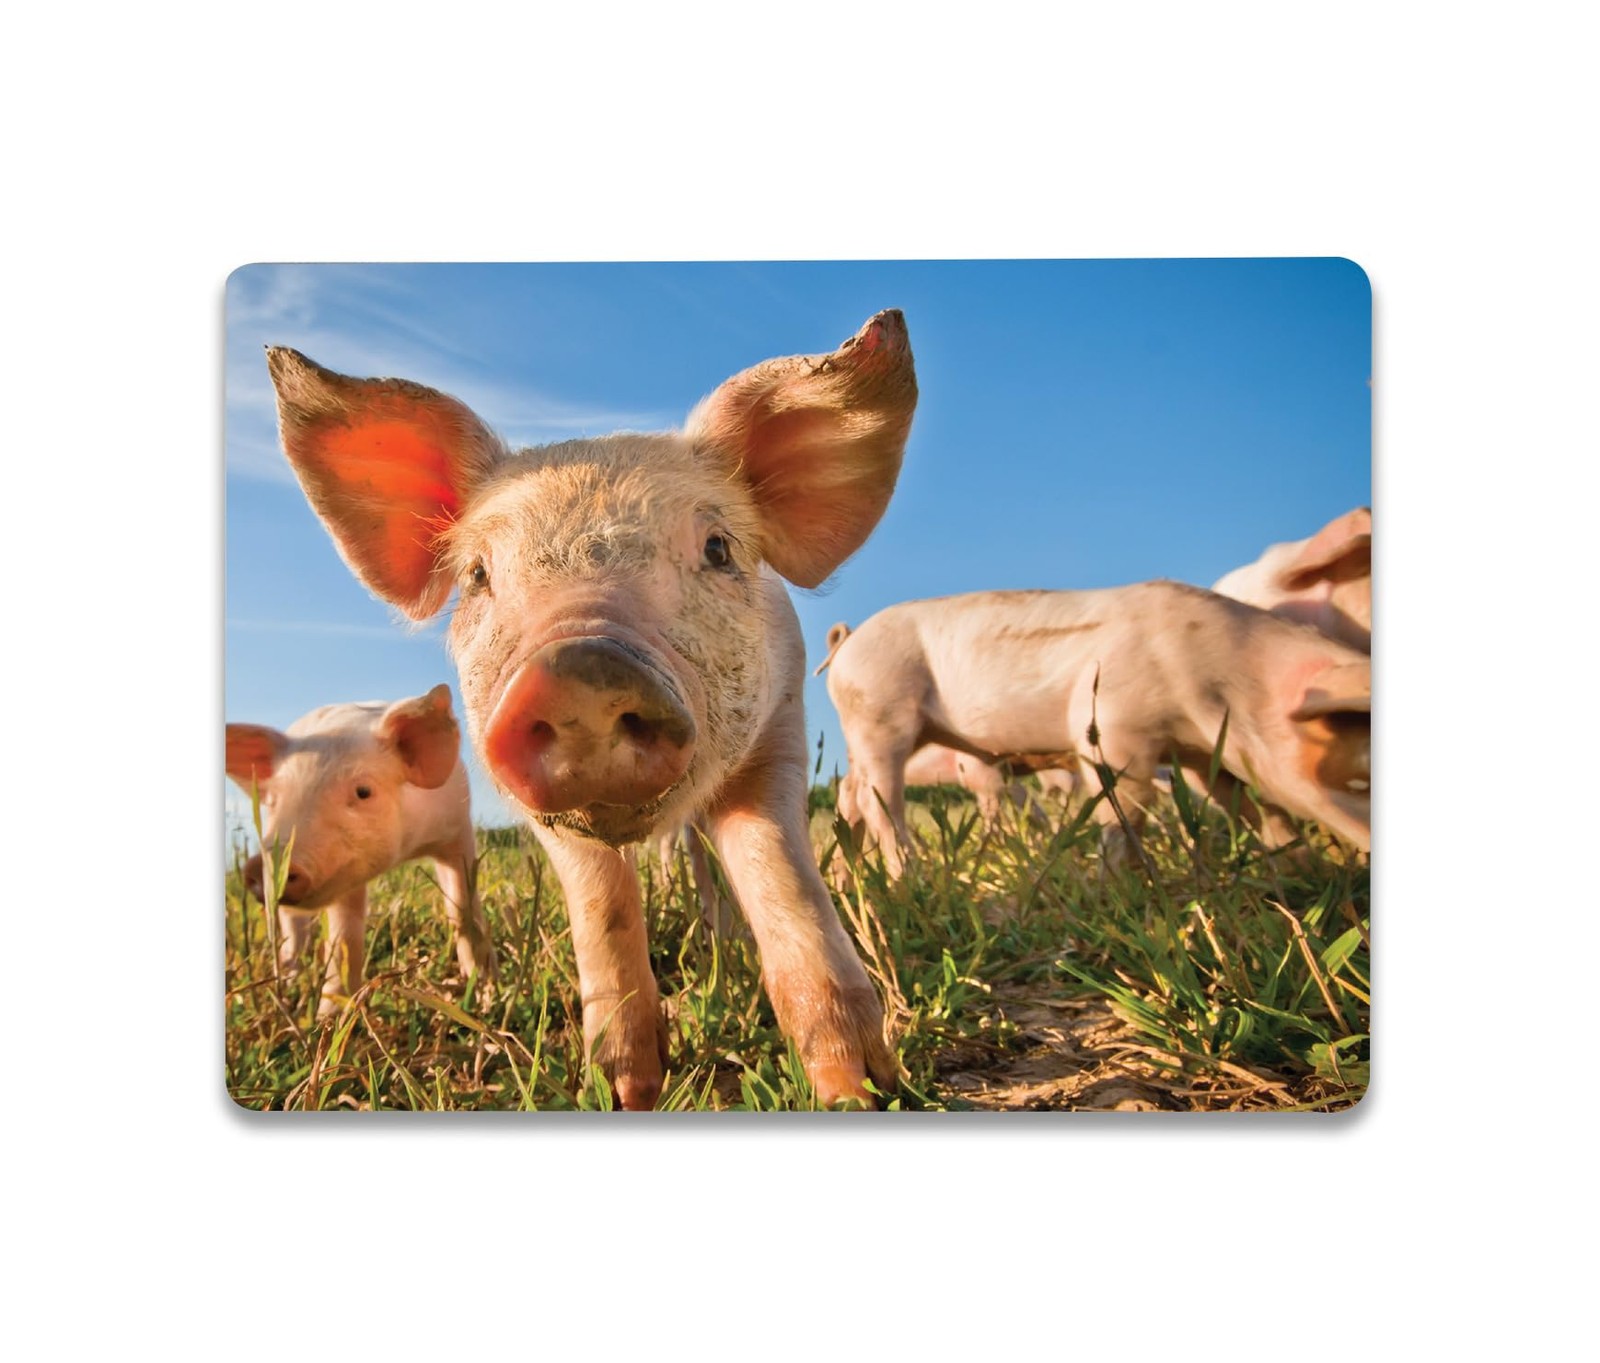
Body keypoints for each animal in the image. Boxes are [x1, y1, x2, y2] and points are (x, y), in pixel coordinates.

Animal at [225, 685, 496, 1017]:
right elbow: (345, 936)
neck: (407, 848)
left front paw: (485, 992)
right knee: (293, 929)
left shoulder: (457, 829)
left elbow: (462, 905)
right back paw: (289, 981)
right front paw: (329, 1019)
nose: (261, 867)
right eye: (273, 801)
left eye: (363, 792)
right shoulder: (346, 873)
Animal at [265, 310, 917, 1109]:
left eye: (718, 547)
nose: (578, 668)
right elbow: (602, 906)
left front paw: (859, 1089)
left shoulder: (781, 727)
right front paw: (625, 1088)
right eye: (477, 574)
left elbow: (778, 870)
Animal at [822, 583, 1370, 878]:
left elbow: (1257, 809)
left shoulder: (1202, 755)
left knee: (850, 797)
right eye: (1360, 779)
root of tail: (849, 640)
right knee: (878, 800)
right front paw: (1114, 882)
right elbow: (1127, 805)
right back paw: (907, 876)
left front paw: (1308, 870)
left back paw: (850, 877)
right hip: (880, 713)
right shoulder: (1111, 725)